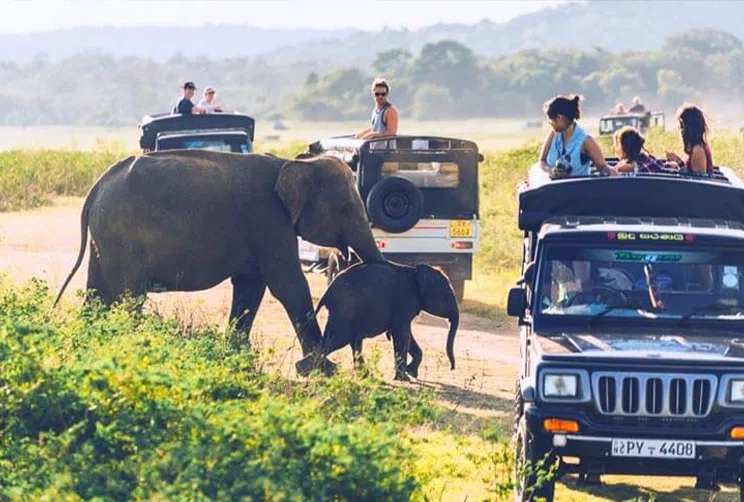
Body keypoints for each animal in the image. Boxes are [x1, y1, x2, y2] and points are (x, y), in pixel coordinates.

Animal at [53, 149, 384, 373]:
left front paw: (239, 357)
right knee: (129, 296)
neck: (295, 163)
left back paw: (89, 346)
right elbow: (288, 286)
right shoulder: (269, 220)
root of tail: (98, 186)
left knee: (97, 292)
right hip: (123, 237)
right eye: (346, 208)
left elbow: (251, 286)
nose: (362, 370)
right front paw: (323, 370)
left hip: (105, 238)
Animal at [300, 261, 459, 381]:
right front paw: (404, 378)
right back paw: (304, 371)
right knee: (336, 340)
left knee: (351, 341)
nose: (452, 368)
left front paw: (411, 373)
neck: (416, 272)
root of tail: (327, 292)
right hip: (344, 312)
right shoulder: (404, 300)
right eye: (446, 297)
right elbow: (402, 334)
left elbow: (405, 334)